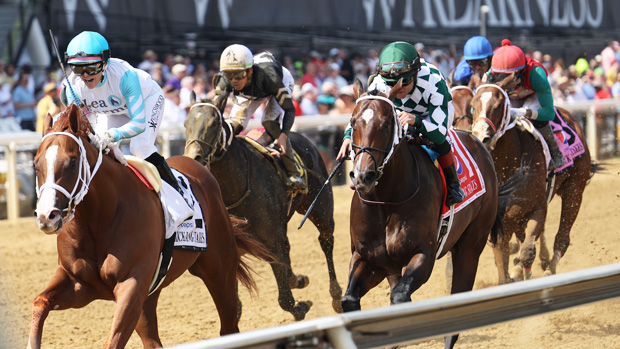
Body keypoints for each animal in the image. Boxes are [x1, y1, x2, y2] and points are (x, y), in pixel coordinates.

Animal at [30, 104, 270, 348]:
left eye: (72, 162)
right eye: (36, 164)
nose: (46, 216)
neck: (100, 218)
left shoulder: (132, 285)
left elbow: (113, 340)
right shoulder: (79, 283)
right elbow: (39, 302)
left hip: (219, 271)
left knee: (229, 326)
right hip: (150, 294)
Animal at [184, 91, 342, 320]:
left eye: (214, 124)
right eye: (186, 123)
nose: (192, 157)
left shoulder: (272, 239)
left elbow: (285, 299)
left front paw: (301, 307)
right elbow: (235, 306)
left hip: (320, 208)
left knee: (326, 241)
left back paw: (336, 296)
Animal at [344, 79, 520, 348]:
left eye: (386, 124)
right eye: (353, 122)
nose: (364, 176)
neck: (386, 201)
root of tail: (480, 145)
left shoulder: (423, 255)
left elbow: (400, 297)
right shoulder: (370, 259)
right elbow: (350, 300)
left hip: (470, 246)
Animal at [470, 78, 592, 282]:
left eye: (499, 105)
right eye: (473, 104)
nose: (481, 136)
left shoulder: (538, 208)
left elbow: (527, 252)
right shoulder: (503, 221)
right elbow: (503, 265)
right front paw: (514, 274)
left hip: (575, 189)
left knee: (562, 237)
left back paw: (550, 267)